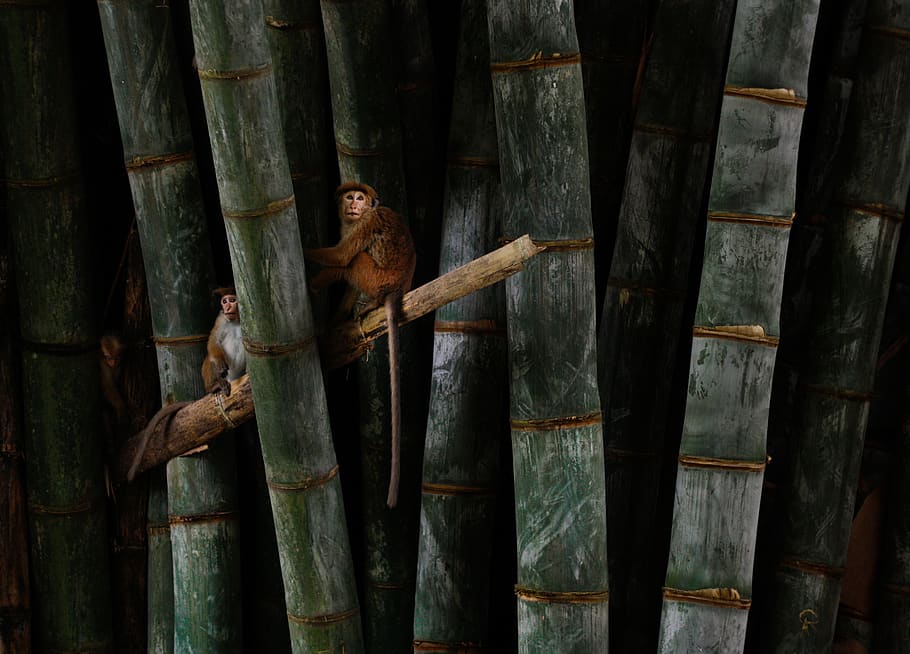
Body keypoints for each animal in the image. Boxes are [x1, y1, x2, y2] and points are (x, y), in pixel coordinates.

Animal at [304, 181, 416, 508]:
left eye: (360, 198)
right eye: (349, 197)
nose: (354, 204)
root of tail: (396, 288)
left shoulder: (365, 223)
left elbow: (342, 257)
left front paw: (304, 252)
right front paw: (331, 323)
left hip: (375, 278)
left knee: (354, 261)